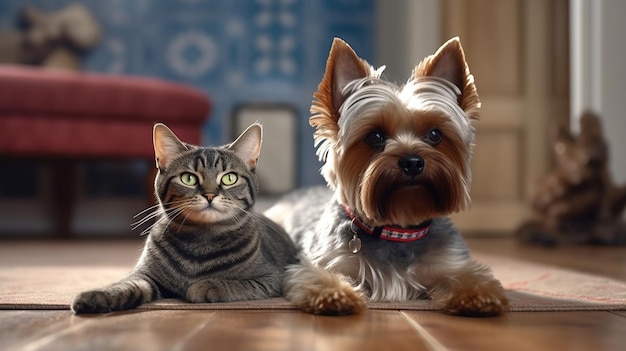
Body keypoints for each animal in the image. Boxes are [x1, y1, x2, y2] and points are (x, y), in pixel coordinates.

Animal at [72, 123, 298, 314]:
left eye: (229, 178)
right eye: (188, 178)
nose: (209, 194)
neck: (201, 242)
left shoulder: (272, 278)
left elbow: (235, 283)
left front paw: (204, 286)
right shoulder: (145, 275)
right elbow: (127, 284)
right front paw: (98, 296)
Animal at [264, 36, 508, 316]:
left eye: (435, 134)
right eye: (375, 137)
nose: (412, 162)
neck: (398, 228)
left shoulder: (451, 262)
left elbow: (472, 278)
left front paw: (478, 297)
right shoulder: (322, 261)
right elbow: (321, 276)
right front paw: (335, 295)